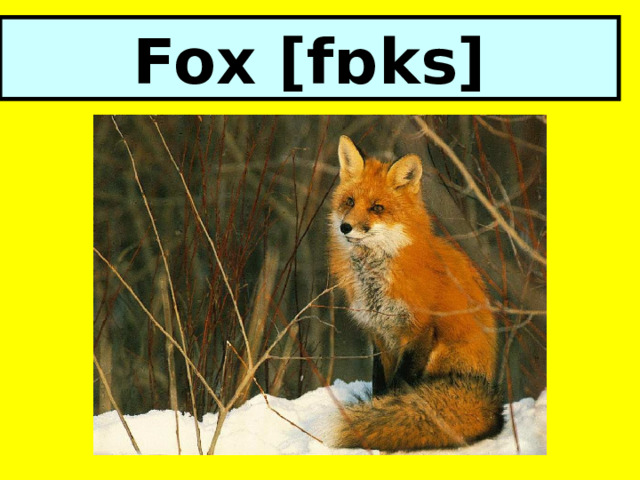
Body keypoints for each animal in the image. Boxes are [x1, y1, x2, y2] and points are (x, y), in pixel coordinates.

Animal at [326, 135, 503, 451]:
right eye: (350, 202)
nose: (345, 227)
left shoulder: (418, 331)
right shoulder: (379, 334)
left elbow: (399, 387)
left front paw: (380, 421)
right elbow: (381, 386)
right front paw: (376, 412)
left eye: (377, 208)